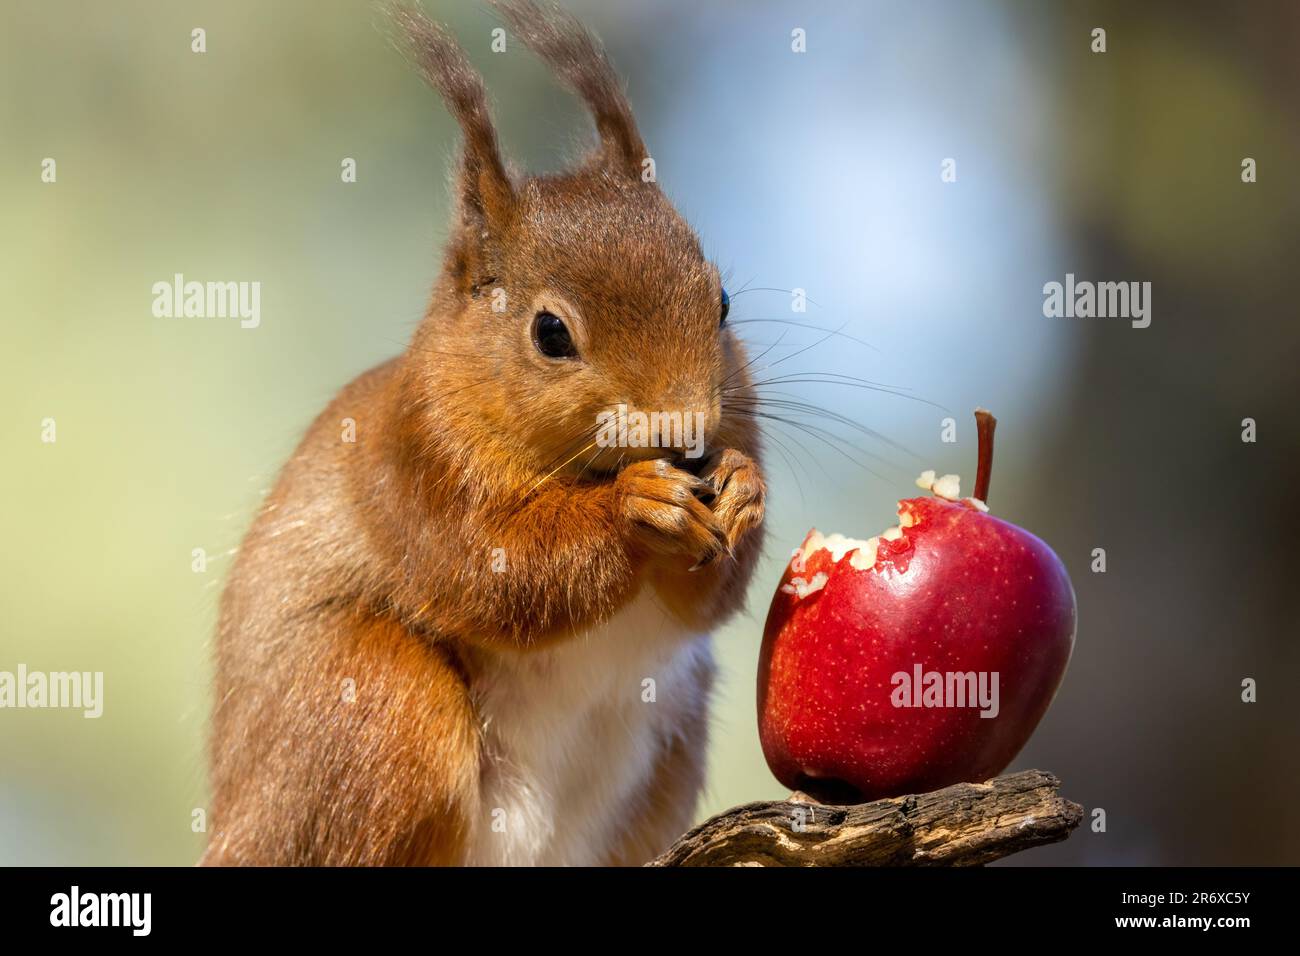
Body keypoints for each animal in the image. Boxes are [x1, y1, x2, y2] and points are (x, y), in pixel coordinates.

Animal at [201, 0, 766, 866]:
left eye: (724, 301)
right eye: (550, 333)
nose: (691, 438)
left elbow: (703, 602)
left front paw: (741, 488)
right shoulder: (416, 458)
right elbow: (494, 572)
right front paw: (636, 509)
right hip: (372, 706)